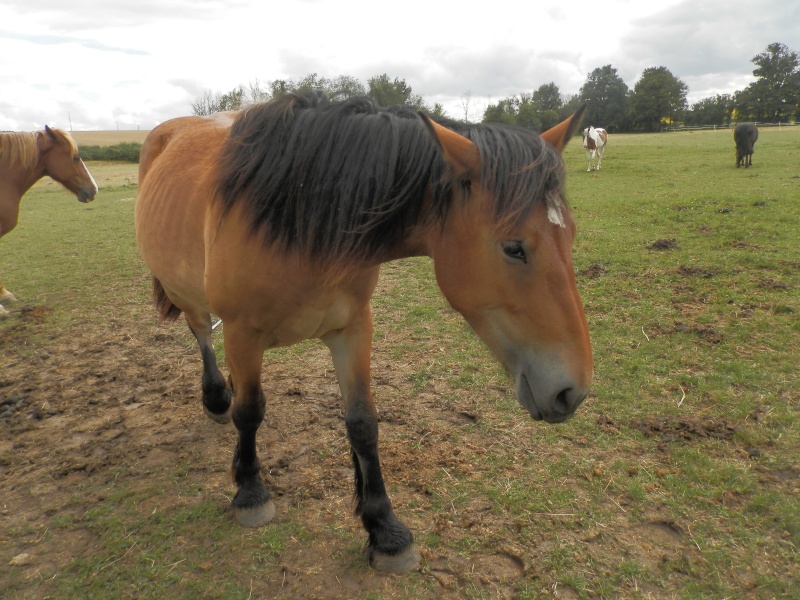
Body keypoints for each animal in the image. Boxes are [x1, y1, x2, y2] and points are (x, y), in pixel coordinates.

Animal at [133, 91, 592, 576]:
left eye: (571, 235)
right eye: (514, 248)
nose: (573, 391)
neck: (298, 214)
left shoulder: (352, 328)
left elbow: (362, 424)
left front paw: (385, 530)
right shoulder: (242, 332)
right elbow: (251, 412)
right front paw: (250, 491)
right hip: (186, 294)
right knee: (202, 334)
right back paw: (218, 397)